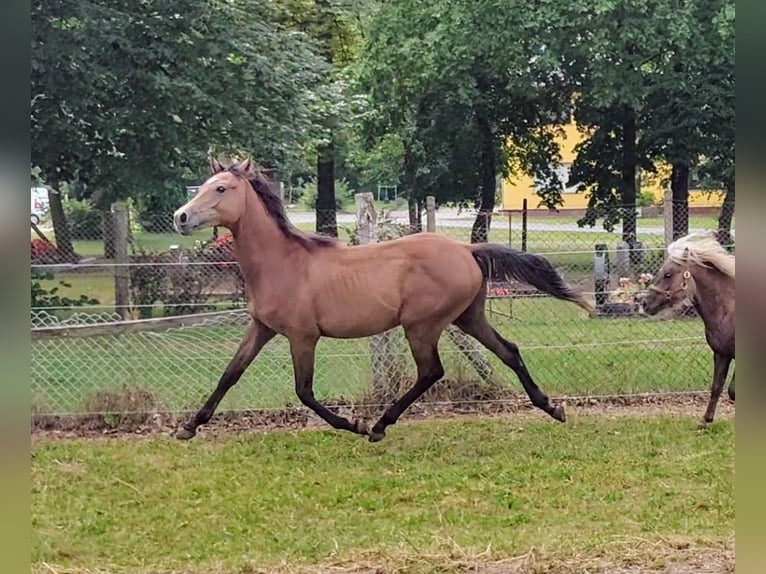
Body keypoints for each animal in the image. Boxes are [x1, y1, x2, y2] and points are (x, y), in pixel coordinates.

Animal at [174, 160, 592, 444]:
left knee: (431, 371)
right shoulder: (261, 328)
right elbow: (231, 373)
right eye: (205, 185)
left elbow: (304, 391)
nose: (180, 217)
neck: (283, 263)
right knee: (508, 350)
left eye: (221, 189)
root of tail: (467, 250)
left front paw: (354, 424)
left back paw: (379, 426)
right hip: (467, 318)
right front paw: (189, 426)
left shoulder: (302, 336)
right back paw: (552, 407)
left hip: (422, 326)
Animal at [640, 233, 736, 428]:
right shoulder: (721, 354)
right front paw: (705, 421)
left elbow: (733, 391)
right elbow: (717, 387)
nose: (644, 303)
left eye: (668, 274)